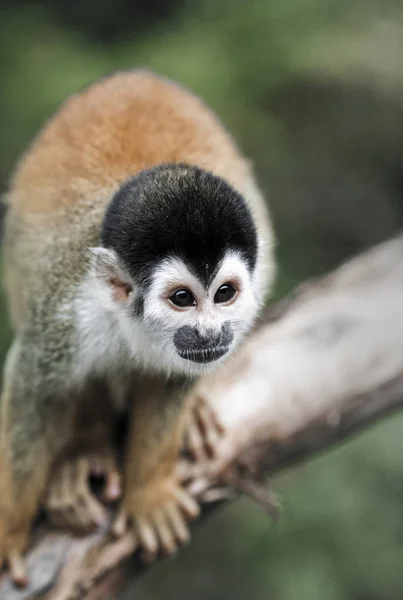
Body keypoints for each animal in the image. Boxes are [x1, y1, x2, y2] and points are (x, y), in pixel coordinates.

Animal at [0, 70, 276, 584]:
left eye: (224, 294)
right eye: (182, 299)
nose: (210, 333)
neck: (131, 322)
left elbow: (171, 382)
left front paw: (148, 492)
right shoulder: (64, 318)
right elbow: (35, 392)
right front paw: (8, 531)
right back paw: (83, 456)